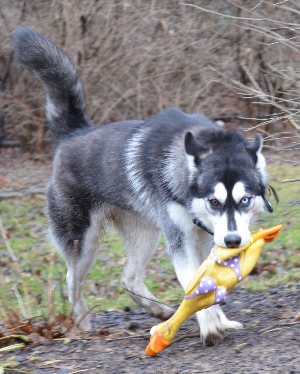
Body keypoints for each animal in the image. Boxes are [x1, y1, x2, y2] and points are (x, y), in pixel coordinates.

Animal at [12, 27, 274, 346]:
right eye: (214, 202)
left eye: (245, 200)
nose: (234, 241)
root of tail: (74, 135)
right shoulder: (180, 240)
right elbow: (193, 284)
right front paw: (210, 325)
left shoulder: (203, 238)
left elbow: (205, 283)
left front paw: (218, 320)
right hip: (82, 243)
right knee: (72, 280)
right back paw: (83, 322)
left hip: (145, 234)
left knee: (128, 278)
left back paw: (159, 310)